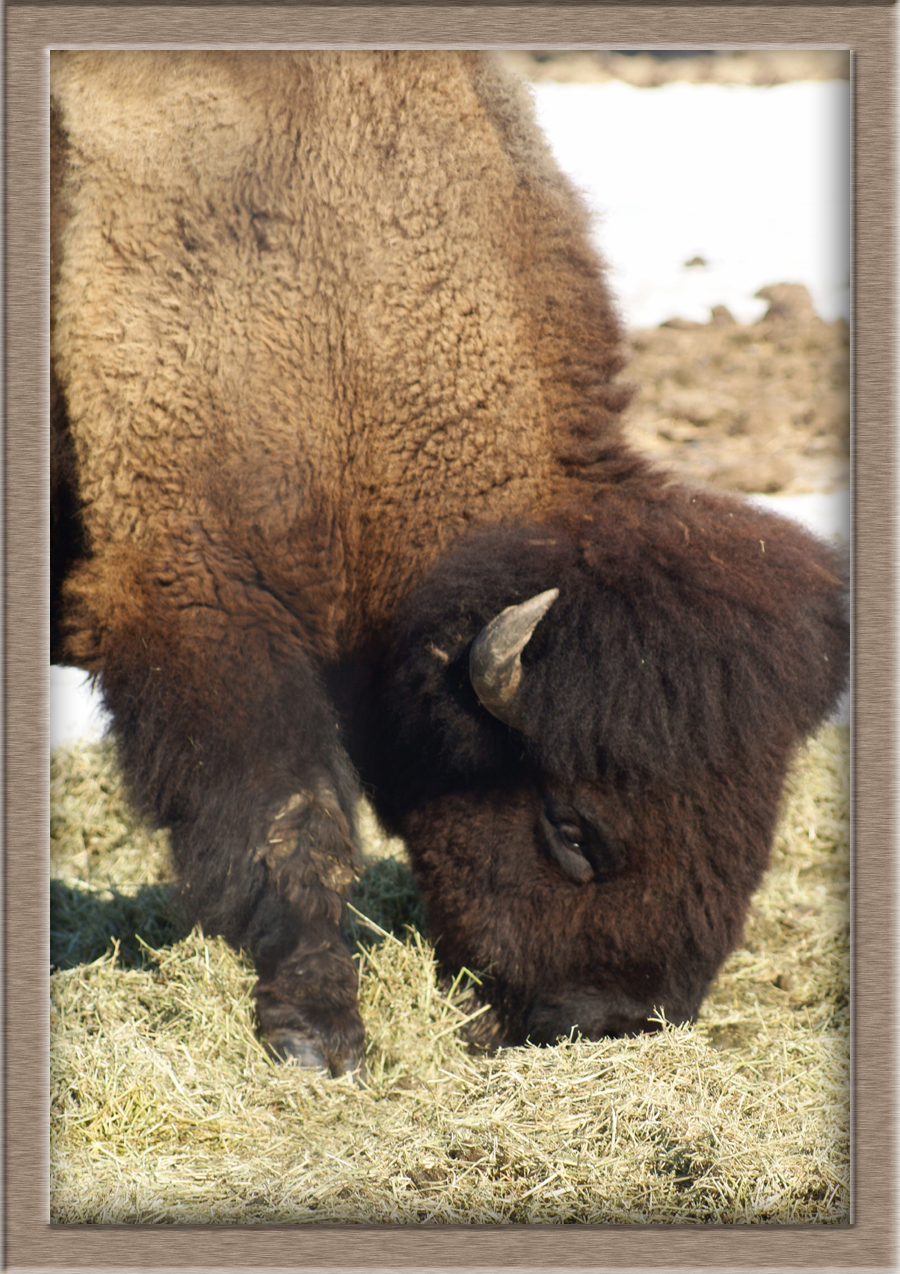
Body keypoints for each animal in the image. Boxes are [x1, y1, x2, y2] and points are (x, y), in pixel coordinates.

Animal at [50, 51, 849, 1078]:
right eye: (570, 828)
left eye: (756, 832)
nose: (613, 1019)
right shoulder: (195, 599)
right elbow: (291, 815)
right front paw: (320, 1037)